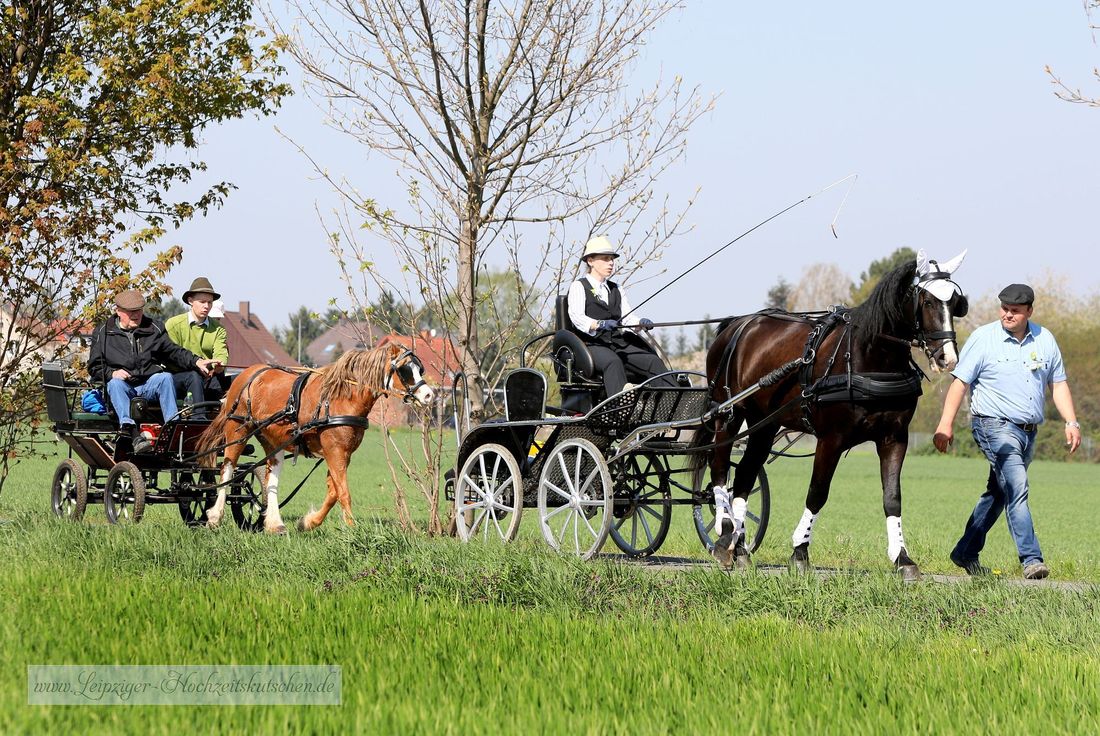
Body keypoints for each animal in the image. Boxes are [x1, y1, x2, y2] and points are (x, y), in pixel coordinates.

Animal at [198, 345, 433, 534]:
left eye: (419, 368)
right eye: (404, 369)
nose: (429, 395)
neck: (340, 399)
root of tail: (246, 374)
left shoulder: (342, 454)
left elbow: (333, 492)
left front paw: (308, 523)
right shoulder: (335, 452)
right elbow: (343, 492)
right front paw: (352, 529)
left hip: (272, 441)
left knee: (271, 477)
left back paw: (274, 524)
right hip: (237, 432)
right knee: (227, 469)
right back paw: (214, 517)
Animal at [695, 249, 963, 576]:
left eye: (955, 301)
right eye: (927, 301)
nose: (947, 357)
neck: (868, 357)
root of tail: (738, 324)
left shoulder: (894, 438)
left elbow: (892, 498)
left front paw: (902, 558)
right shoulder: (831, 439)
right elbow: (817, 492)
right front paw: (799, 551)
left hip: (763, 424)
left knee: (745, 475)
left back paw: (742, 547)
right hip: (728, 414)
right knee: (720, 468)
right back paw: (724, 536)